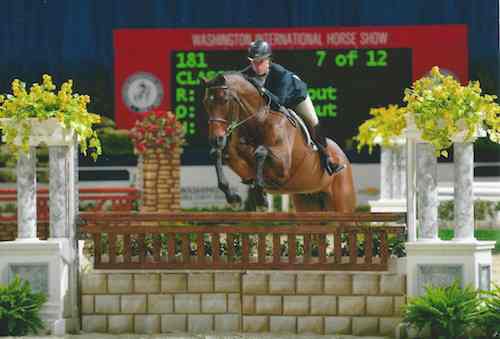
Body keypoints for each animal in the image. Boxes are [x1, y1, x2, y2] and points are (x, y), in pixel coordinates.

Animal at [201, 72, 358, 212]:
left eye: (224, 101)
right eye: (206, 102)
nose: (215, 139)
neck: (258, 121)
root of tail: (343, 156)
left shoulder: (283, 166)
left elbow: (260, 152)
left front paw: (261, 200)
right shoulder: (238, 159)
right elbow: (218, 153)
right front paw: (233, 198)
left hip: (342, 203)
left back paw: (333, 164)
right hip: (308, 202)